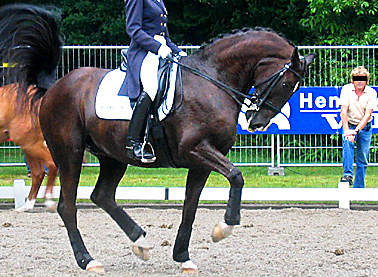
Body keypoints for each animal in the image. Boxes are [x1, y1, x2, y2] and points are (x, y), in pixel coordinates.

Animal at [0, 4, 62, 210]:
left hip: (29, 141)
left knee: (50, 165)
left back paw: (48, 201)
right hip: (29, 144)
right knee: (38, 172)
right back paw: (27, 205)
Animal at [22, 28, 314, 272]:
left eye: (294, 88)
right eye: (286, 85)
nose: (257, 122)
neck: (213, 80)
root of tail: (55, 88)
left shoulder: (201, 161)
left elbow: (190, 207)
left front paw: (183, 257)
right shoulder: (195, 149)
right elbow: (236, 176)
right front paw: (224, 227)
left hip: (113, 156)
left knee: (102, 195)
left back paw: (140, 242)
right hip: (70, 154)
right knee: (67, 206)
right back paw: (88, 260)